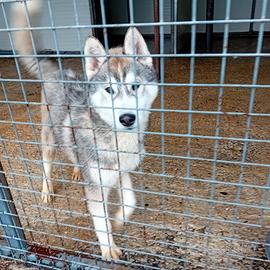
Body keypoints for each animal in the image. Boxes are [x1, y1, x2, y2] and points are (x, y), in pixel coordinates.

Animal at [11, 0, 158, 262]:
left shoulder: (122, 172)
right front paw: (108, 249)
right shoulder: (96, 188)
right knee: (47, 164)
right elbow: (101, 222)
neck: (116, 140)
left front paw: (118, 220)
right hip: (48, 138)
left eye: (135, 86)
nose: (127, 118)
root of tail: (59, 71)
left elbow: (130, 201)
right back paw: (47, 189)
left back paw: (77, 171)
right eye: (109, 89)